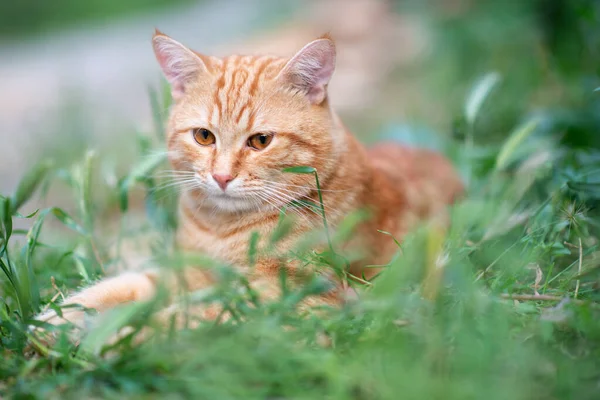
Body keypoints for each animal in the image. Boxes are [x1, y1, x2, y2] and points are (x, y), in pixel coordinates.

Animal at [35, 30, 462, 332]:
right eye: (204, 136)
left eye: (260, 141)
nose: (222, 176)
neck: (220, 230)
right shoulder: (186, 272)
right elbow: (123, 287)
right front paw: (57, 321)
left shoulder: (285, 298)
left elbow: (183, 319)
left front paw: (115, 335)